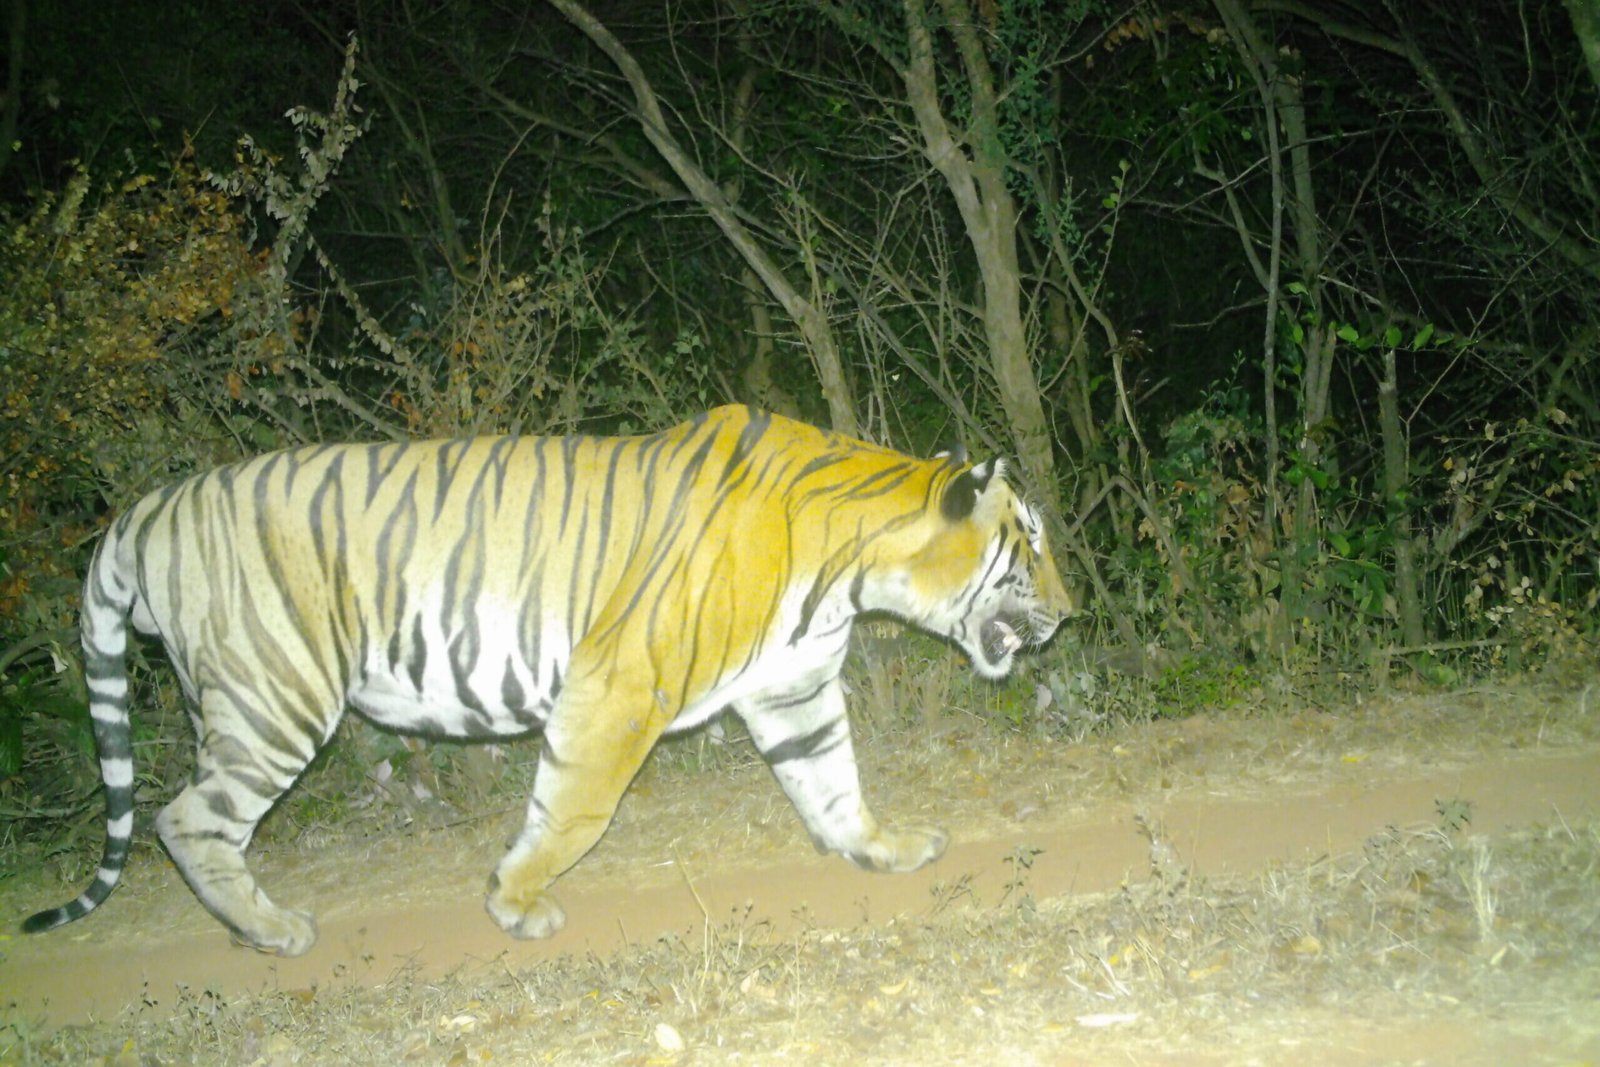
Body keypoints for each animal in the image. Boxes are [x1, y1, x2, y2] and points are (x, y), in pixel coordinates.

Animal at [22, 404, 1072, 956]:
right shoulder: (619, 686)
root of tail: (146, 507)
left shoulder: (794, 685)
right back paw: (275, 927)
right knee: (183, 818)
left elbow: (832, 779)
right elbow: (574, 810)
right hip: (275, 694)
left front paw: (881, 849)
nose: (1069, 613)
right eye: (1028, 544)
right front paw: (515, 900)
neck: (851, 567)